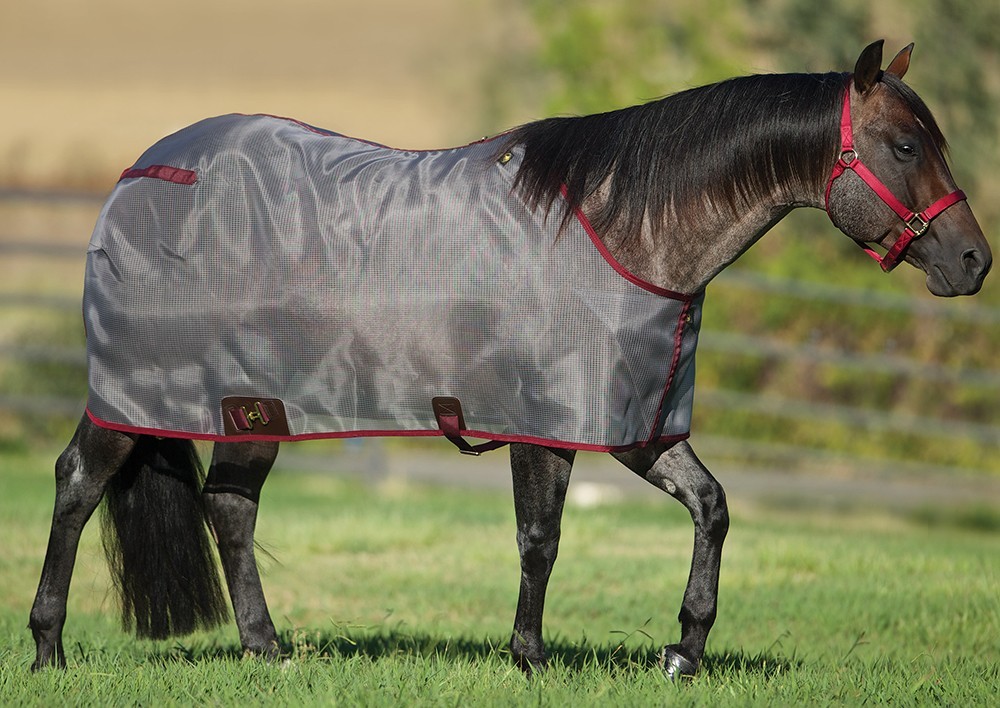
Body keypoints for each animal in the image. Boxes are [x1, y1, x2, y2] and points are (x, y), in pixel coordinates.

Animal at [29, 40, 990, 679]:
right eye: (906, 145)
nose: (975, 261)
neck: (623, 230)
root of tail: (141, 174)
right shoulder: (546, 422)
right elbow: (541, 539)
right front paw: (527, 658)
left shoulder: (637, 423)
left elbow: (712, 508)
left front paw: (684, 647)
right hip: (141, 396)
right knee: (79, 482)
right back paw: (48, 649)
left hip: (254, 405)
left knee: (230, 507)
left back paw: (268, 653)